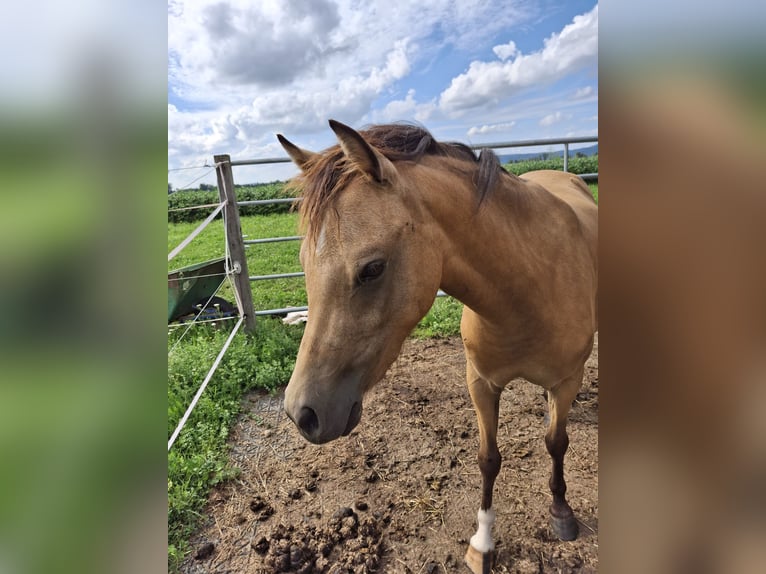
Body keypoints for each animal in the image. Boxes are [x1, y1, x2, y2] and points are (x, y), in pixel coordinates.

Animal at [276, 119, 600, 572]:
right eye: (304, 263)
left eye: (372, 269)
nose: (301, 414)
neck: (530, 285)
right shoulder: (481, 382)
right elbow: (488, 458)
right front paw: (482, 543)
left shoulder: (567, 381)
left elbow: (556, 443)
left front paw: (561, 512)